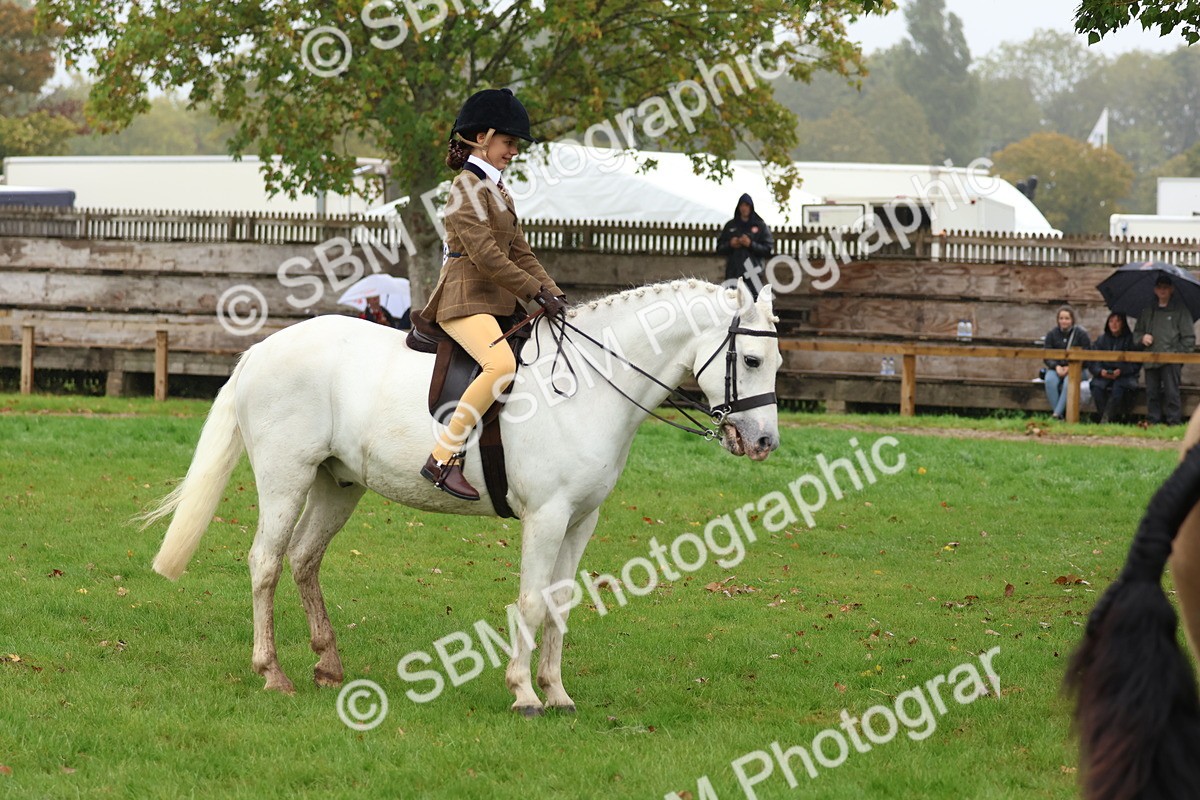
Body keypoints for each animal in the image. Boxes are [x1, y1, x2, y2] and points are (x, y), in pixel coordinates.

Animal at [143, 279, 782, 715]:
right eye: (751, 359)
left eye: (776, 360)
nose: (764, 442)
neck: (591, 383)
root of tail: (262, 349)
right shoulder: (547, 517)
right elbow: (530, 601)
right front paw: (525, 694)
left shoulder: (581, 520)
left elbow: (561, 603)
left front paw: (557, 692)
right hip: (286, 476)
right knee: (266, 562)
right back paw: (273, 672)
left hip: (337, 484)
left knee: (303, 559)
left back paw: (328, 665)